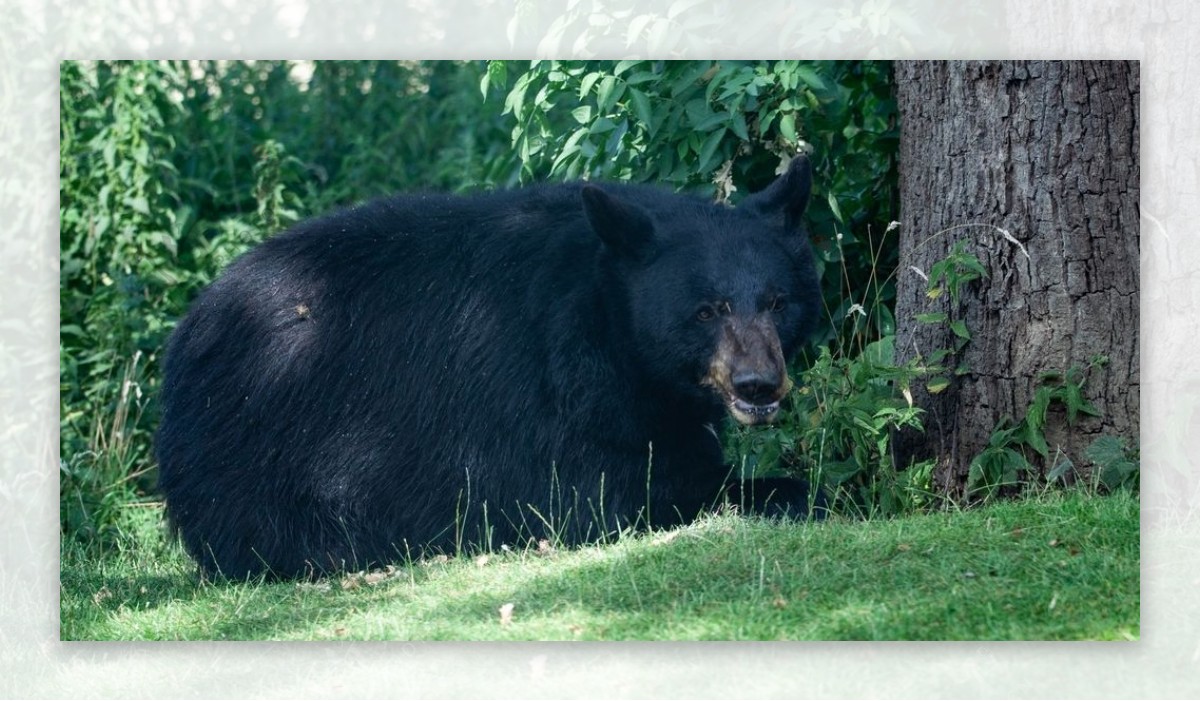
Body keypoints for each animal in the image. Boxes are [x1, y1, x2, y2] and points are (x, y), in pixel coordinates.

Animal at [154, 156, 820, 578]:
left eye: (777, 301)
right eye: (706, 310)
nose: (758, 385)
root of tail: (188, 330)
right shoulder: (546, 392)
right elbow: (610, 493)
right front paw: (791, 491)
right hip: (265, 440)